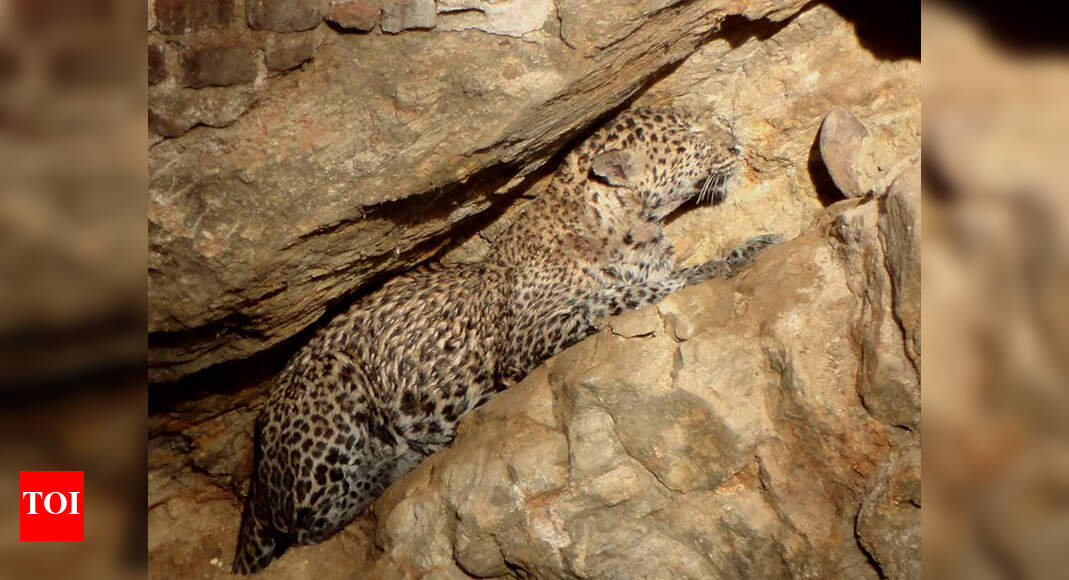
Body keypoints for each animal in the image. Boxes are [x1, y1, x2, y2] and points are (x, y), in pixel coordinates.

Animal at [232, 106, 780, 574]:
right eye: (691, 137)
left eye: (713, 122)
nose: (735, 143)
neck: (628, 224)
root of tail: (258, 472)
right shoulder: (528, 334)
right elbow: (627, 293)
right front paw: (730, 258)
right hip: (331, 383)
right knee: (309, 521)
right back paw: (404, 457)